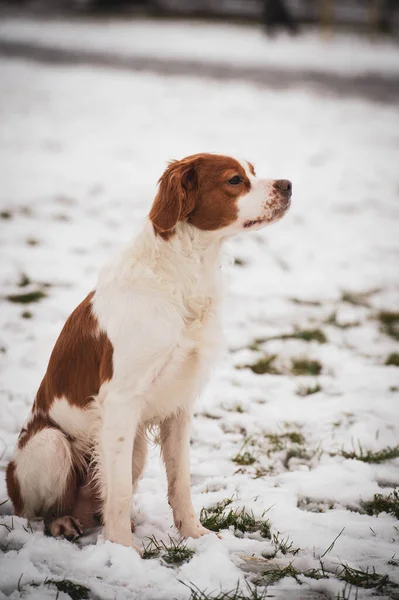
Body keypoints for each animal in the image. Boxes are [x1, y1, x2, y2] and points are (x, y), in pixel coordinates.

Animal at [5, 152, 294, 552]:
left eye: (253, 170)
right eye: (235, 180)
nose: (288, 185)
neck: (183, 273)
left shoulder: (181, 403)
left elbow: (180, 481)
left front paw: (195, 535)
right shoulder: (120, 401)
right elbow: (119, 491)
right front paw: (123, 549)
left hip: (135, 448)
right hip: (51, 444)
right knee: (36, 512)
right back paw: (63, 523)